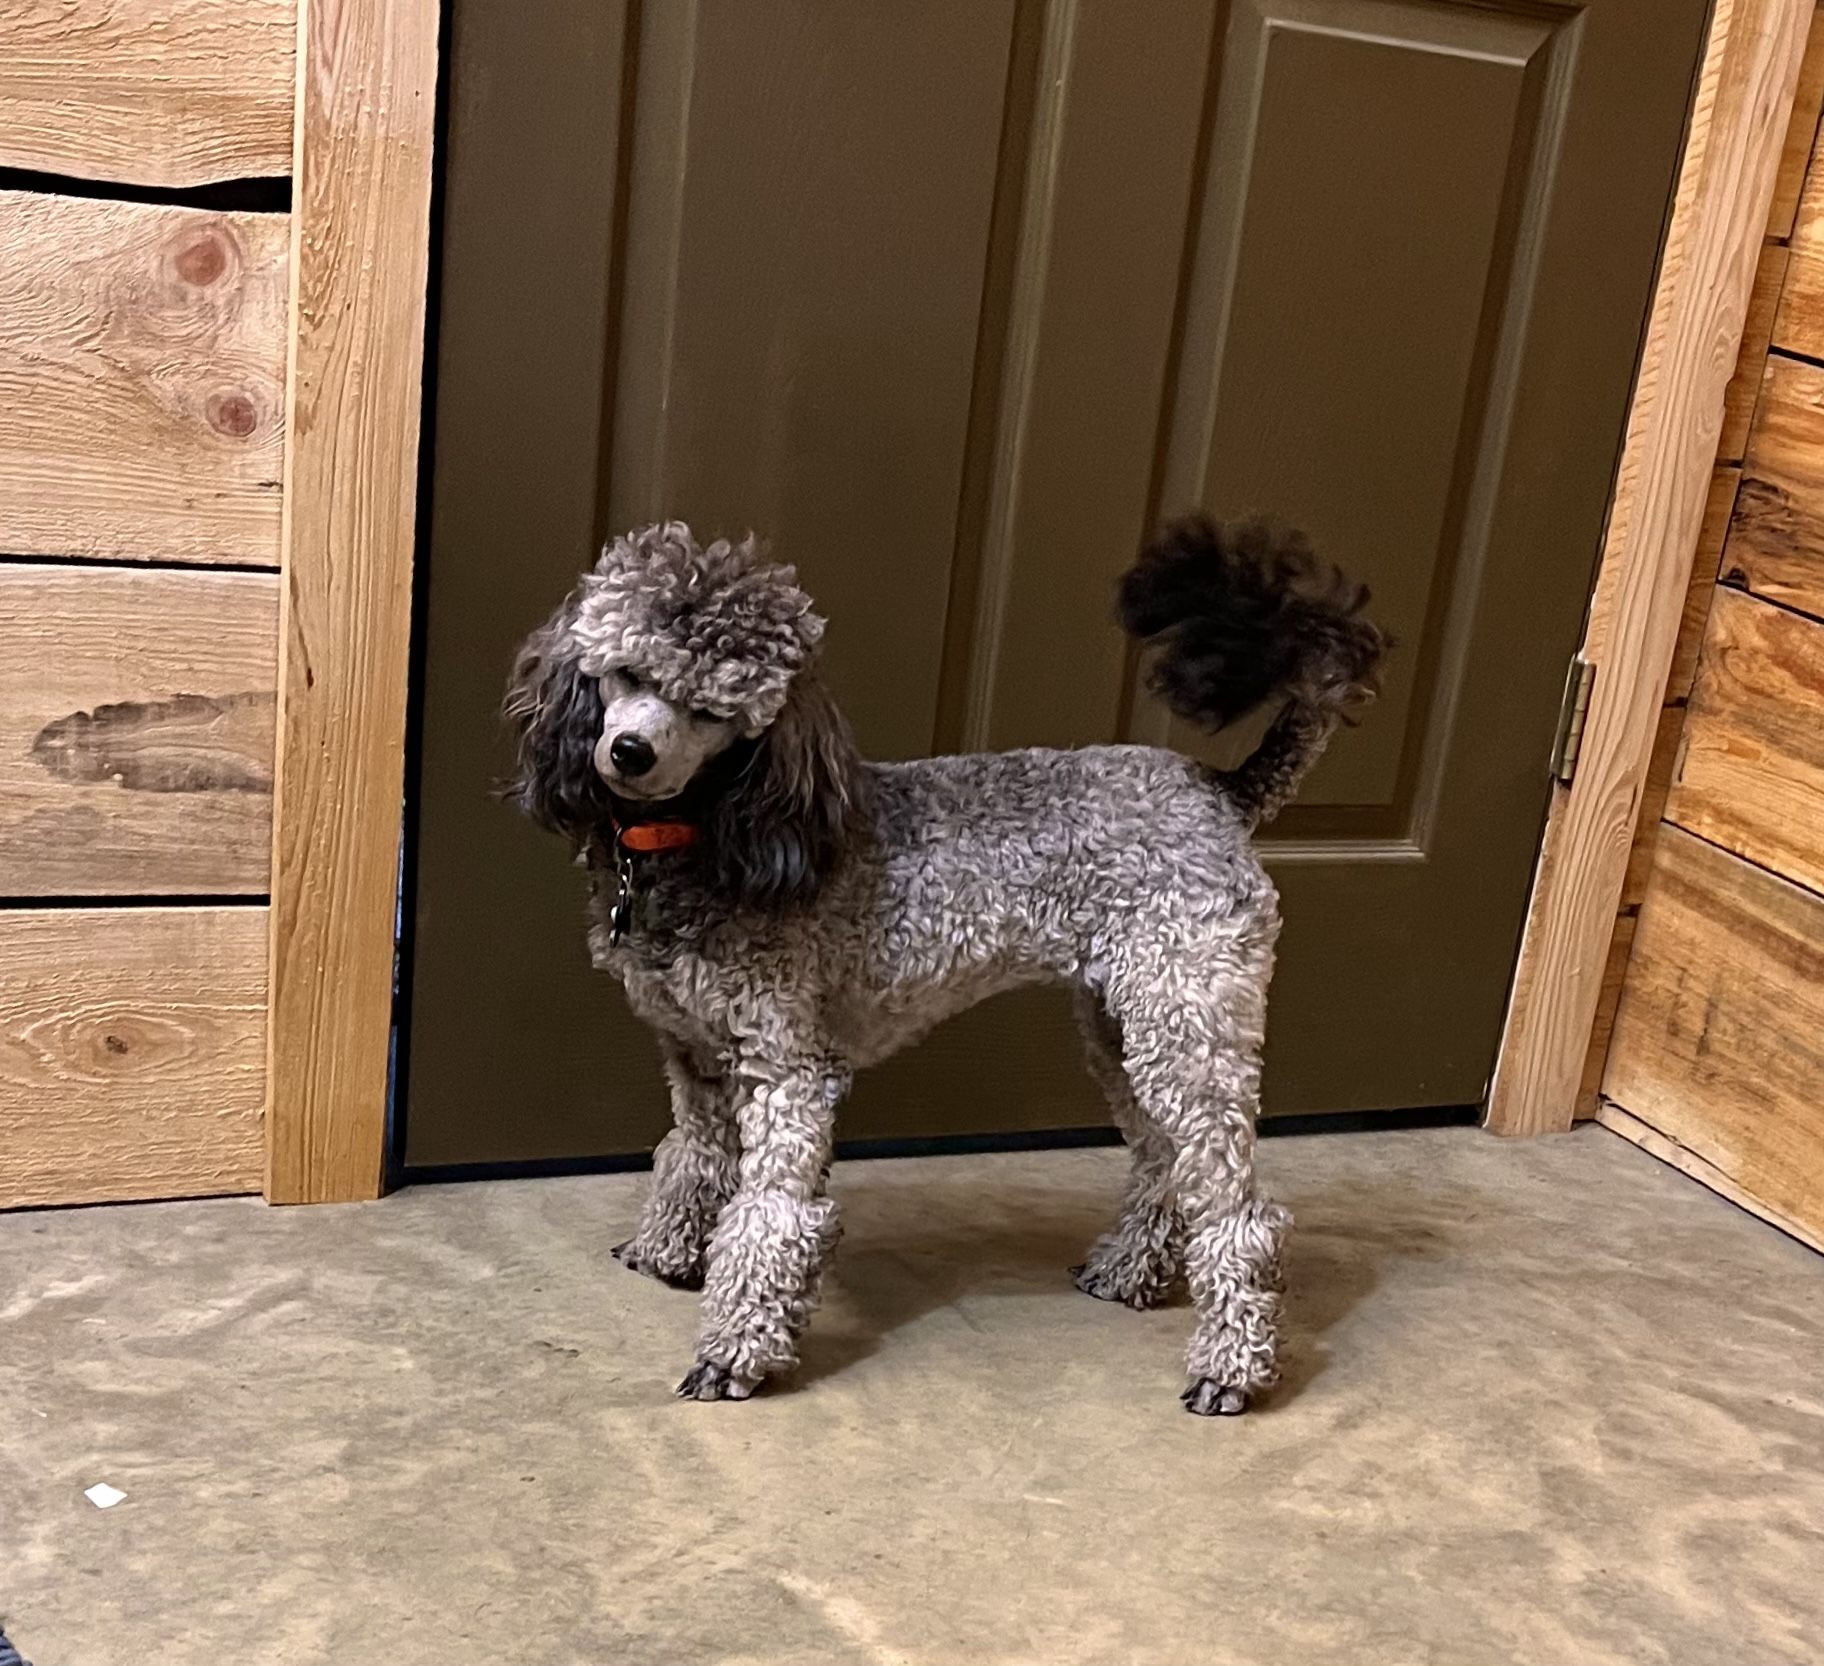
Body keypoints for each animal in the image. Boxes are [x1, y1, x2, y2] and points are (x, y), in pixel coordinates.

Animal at [504, 517, 1384, 1414]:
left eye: (717, 712)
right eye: (626, 671)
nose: (629, 752)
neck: (713, 835)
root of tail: (1220, 791)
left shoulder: (787, 1068)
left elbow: (772, 1214)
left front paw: (736, 1348)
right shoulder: (694, 1056)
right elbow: (690, 1156)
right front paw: (669, 1252)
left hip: (1188, 1022)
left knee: (1239, 1210)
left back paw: (1230, 1363)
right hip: (1125, 1026)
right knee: (1166, 1161)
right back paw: (1130, 1272)